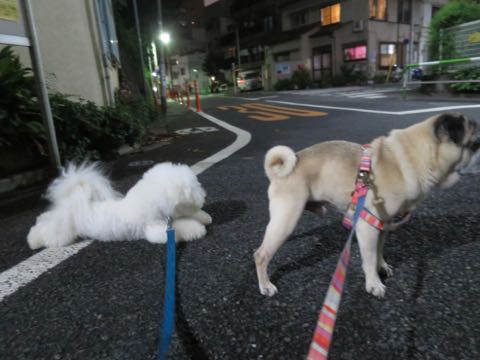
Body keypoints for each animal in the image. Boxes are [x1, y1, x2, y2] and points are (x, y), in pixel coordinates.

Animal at [27, 162, 212, 249]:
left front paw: (204, 217)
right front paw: (198, 229)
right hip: (64, 229)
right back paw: (33, 241)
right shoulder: (157, 229)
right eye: (195, 187)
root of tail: (75, 200)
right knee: (48, 232)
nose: (205, 195)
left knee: (45, 219)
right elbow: (182, 226)